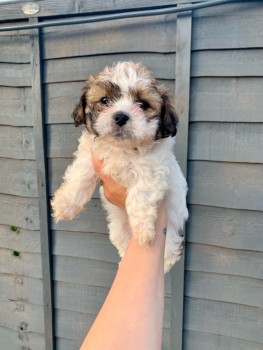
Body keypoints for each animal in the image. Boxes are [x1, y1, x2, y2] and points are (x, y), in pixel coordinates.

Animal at [51, 61, 188, 272]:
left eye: (143, 104)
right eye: (104, 100)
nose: (121, 116)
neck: (121, 149)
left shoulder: (153, 168)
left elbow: (140, 195)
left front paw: (143, 230)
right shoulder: (89, 155)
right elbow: (80, 176)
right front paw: (65, 205)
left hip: (171, 234)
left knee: (170, 252)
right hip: (118, 231)